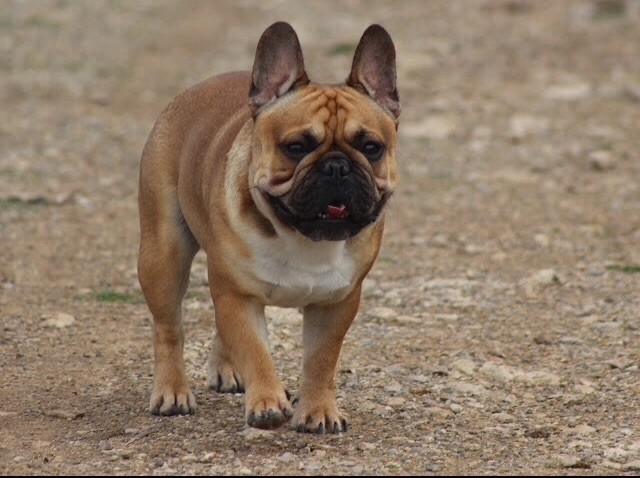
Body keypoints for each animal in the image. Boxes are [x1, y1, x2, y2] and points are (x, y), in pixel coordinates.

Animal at [138, 21, 400, 434]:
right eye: (296, 146)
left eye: (371, 147)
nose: (337, 166)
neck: (301, 236)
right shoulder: (238, 296)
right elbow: (255, 350)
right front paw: (266, 402)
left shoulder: (336, 304)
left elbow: (321, 361)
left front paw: (319, 409)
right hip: (163, 255)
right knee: (168, 329)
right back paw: (172, 392)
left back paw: (225, 370)